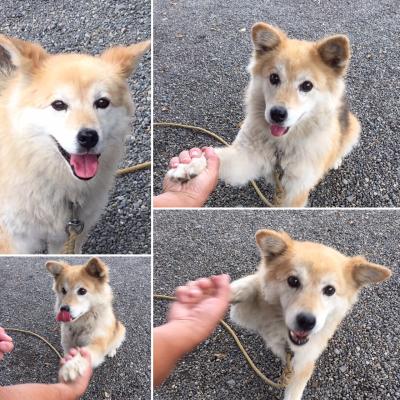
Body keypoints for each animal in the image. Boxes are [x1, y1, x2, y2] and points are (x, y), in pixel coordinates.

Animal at [167, 22, 360, 206]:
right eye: (274, 78)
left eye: (307, 85)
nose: (277, 114)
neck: (281, 147)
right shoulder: (245, 159)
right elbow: (217, 158)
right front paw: (190, 167)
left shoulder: (296, 190)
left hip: (354, 128)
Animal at [231, 230, 390, 400]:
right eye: (293, 280)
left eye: (330, 290)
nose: (306, 321)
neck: (288, 343)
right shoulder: (244, 314)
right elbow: (257, 280)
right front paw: (233, 290)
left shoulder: (305, 361)